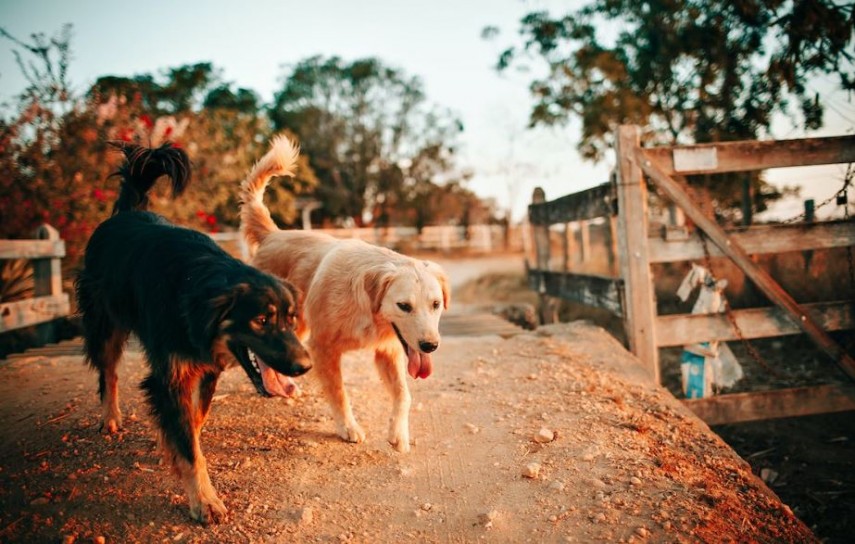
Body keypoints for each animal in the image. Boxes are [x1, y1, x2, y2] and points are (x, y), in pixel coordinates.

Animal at [76, 142, 310, 524]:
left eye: (291, 319)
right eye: (261, 320)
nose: (305, 366)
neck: (197, 290)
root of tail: (126, 214)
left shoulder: (207, 368)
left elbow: (194, 422)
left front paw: (171, 445)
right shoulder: (170, 375)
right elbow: (187, 444)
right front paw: (204, 499)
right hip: (105, 324)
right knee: (108, 372)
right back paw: (110, 417)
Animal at [237, 135, 452, 450]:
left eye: (435, 304)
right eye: (404, 306)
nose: (430, 346)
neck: (367, 310)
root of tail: (273, 234)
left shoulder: (387, 351)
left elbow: (404, 395)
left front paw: (398, 433)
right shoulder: (323, 348)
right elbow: (339, 393)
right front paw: (348, 426)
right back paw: (272, 385)